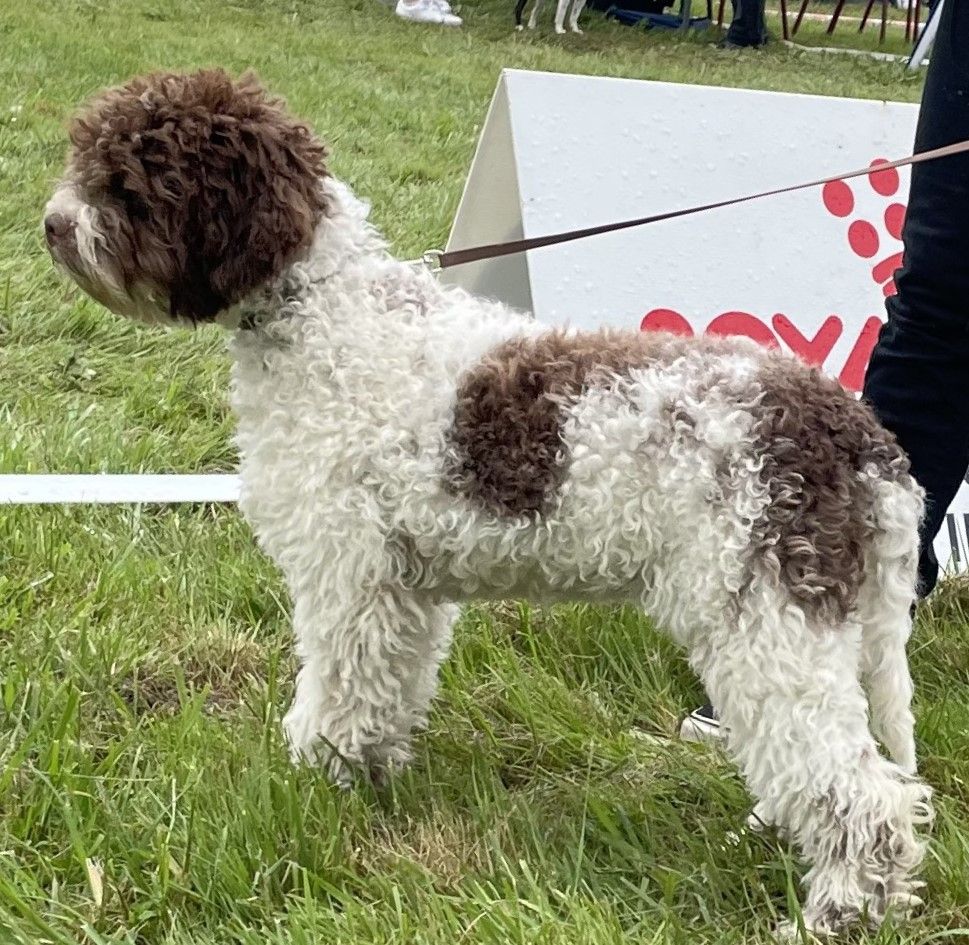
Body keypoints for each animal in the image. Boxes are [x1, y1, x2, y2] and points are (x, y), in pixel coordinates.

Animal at [43, 70, 932, 932]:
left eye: (132, 180)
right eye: (88, 152)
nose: (52, 224)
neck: (322, 310)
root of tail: (858, 436)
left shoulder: (346, 574)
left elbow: (336, 686)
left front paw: (315, 776)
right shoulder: (403, 588)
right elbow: (389, 686)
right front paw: (371, 773)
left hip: (766, 622)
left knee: (866, 793)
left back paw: (837, 909)